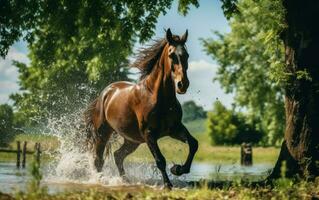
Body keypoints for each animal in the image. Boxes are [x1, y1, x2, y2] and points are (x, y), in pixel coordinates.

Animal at [84, 28, 200, 189]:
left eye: (186, 55)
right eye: (171, 55)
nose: (182, 84)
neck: (158, 97)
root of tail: (105, 93)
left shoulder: (175, 129)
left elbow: (194, 144)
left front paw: (177, 169)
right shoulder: (149, 134)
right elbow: (160, 160)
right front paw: (168, 184)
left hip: (132, 140)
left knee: (118, 155)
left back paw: (125, 180)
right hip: (103, 134)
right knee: (98, 160)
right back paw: (101, 180)